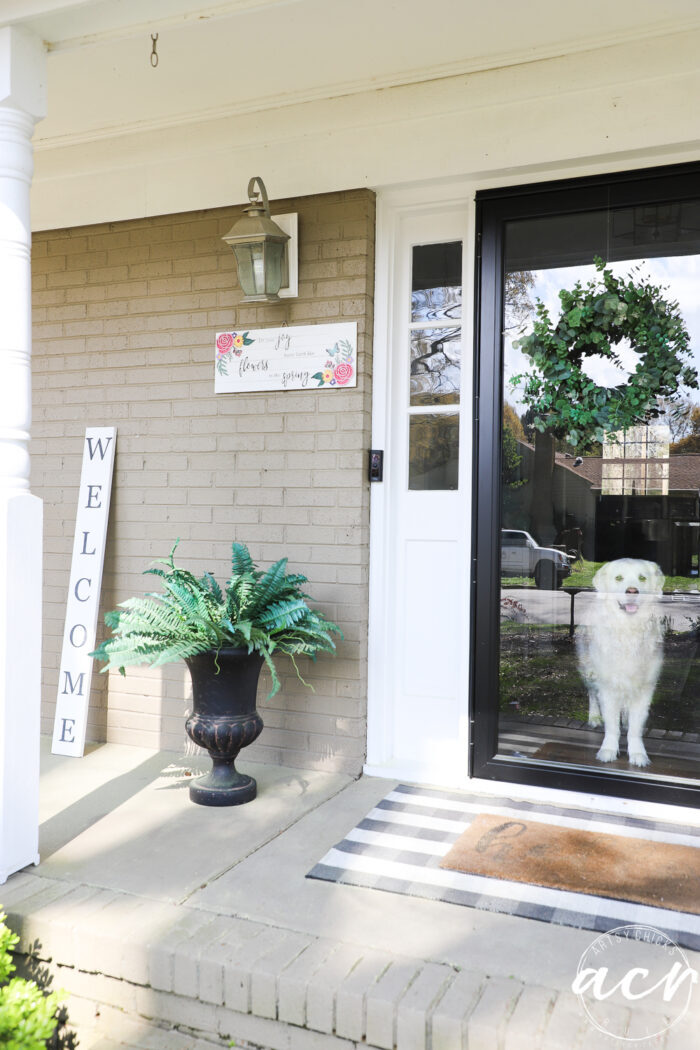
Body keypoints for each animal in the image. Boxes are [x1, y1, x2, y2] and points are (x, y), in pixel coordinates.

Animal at [579, 558, 667, 772]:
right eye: (618, 578)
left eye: (642, 578)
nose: (632, 591)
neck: (628, 629)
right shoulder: (608, 687)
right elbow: (612, 725)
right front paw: (608, 750)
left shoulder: (645, 689)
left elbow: (635, 728)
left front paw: (638, 753)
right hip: (589, 670)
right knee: (592, 694)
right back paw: (594, 717)